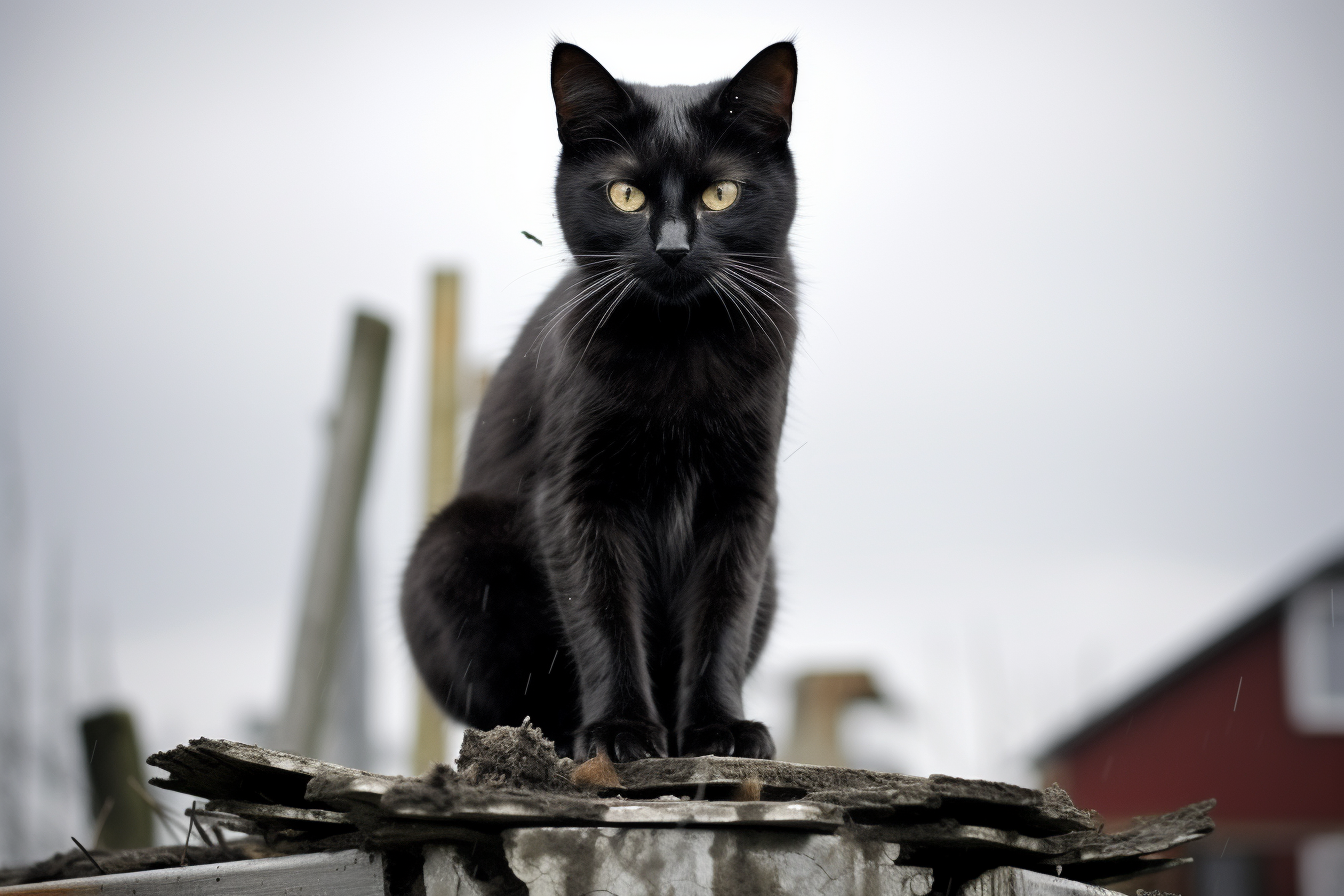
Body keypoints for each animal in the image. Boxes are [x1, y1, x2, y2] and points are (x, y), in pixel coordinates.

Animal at [397, 41, 795, 763]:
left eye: (721, 193)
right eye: (625, 194)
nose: (673, 247)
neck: (679, 347)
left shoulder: (744, 499)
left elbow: (723, 612)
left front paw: (719, 730)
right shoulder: (578, 495)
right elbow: (602, 610)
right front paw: (619, 732)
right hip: (449, 546)